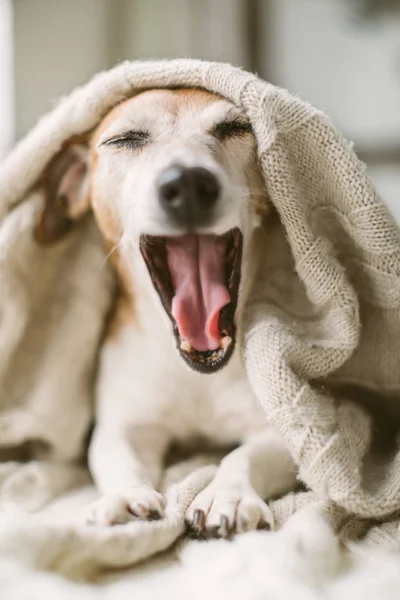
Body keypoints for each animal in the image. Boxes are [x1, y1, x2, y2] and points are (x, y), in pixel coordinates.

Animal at [36, 86, 296, 536]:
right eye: (124, 139)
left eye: (235, 127)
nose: (188, 182)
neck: (196, 374)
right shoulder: (124, 426)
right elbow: (118, 458)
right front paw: (126, 496)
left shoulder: (283, 429)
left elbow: (244, 455)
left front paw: (228, 494)